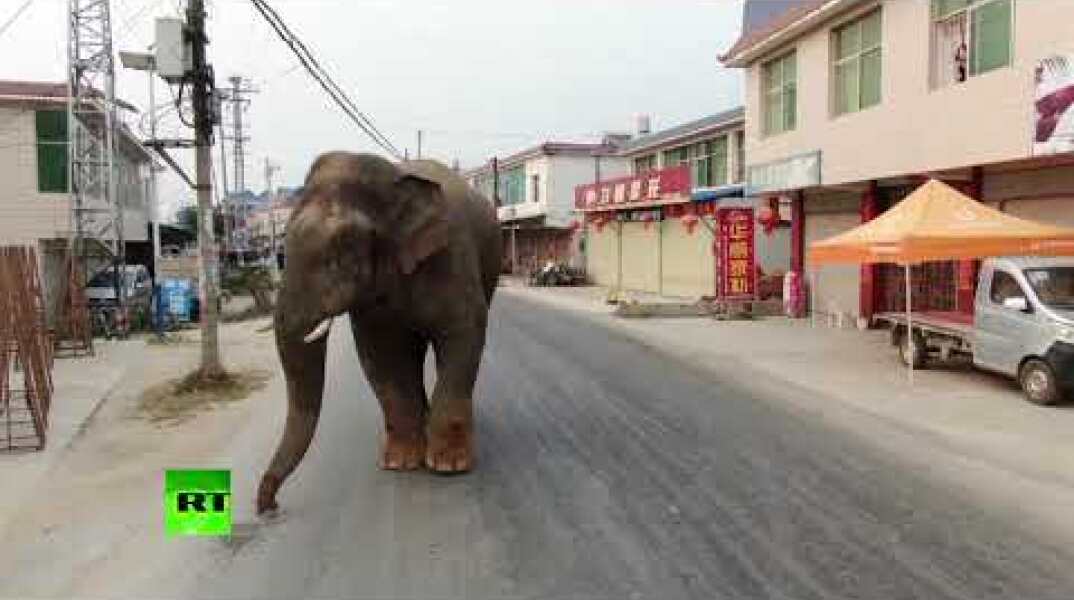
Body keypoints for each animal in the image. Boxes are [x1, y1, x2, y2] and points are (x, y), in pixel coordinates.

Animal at [256, 152, 502, 514]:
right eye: (282, 241)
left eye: (342, 248)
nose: (268, 506)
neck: (391, 179)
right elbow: (380, 354)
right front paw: (401, 463)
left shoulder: (451, 255)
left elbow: (464, 332)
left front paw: (448, 466)